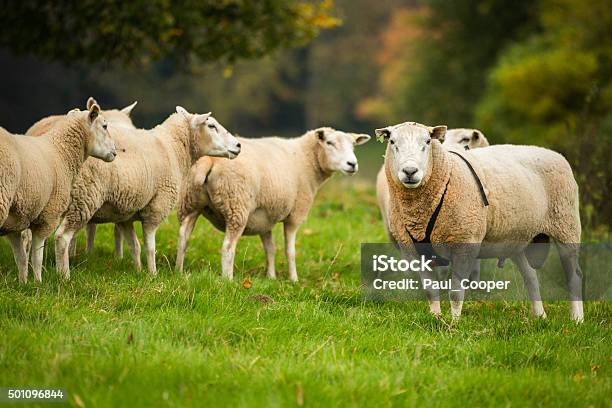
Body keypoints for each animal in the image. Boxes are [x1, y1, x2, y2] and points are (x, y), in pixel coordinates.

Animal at [0, 102, 116, 282]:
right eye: (104, 126)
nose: (115, 152)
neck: (61, 151)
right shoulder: (48, 216)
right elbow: (37, 257)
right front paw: (38, 282)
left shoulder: (14, 222)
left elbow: (21, 258)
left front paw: (23, 283)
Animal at [54, 105, 241, 278]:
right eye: (211, 126)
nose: (238, 145)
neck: (173, 148)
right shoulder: (156, 207)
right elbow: (150, 247)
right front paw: (153, 274)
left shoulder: (124, 212)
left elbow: (134, 246)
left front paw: (137, 271)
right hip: (84, 196)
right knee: (62, 237)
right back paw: (64, 276)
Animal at [175, 127, 370, 280]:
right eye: (329, 143)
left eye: (353, 145)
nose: (352, 164)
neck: (305, 160)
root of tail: (211, 160)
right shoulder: (295, 214)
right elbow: (290, 251)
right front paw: (293, 279)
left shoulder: (264, 217)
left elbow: (270, 248)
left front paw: (271, 277)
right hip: (236, 205)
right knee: (228, 247)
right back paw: (228, 280)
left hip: (190, 203)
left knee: (183, 237)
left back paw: (179, 271)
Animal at [372, 121, 584, 322]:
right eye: (392, 142)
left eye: (427, 141)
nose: (410, 171)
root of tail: (553, 153)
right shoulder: (416, 251)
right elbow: (430, 291)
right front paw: (436, 319)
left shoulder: (465, 243)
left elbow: (456, 293)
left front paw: (454, 325)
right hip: (516, 238)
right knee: (531, 276)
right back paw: (540, 316)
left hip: (566, 225)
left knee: (574, 276)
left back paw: (577, 319)